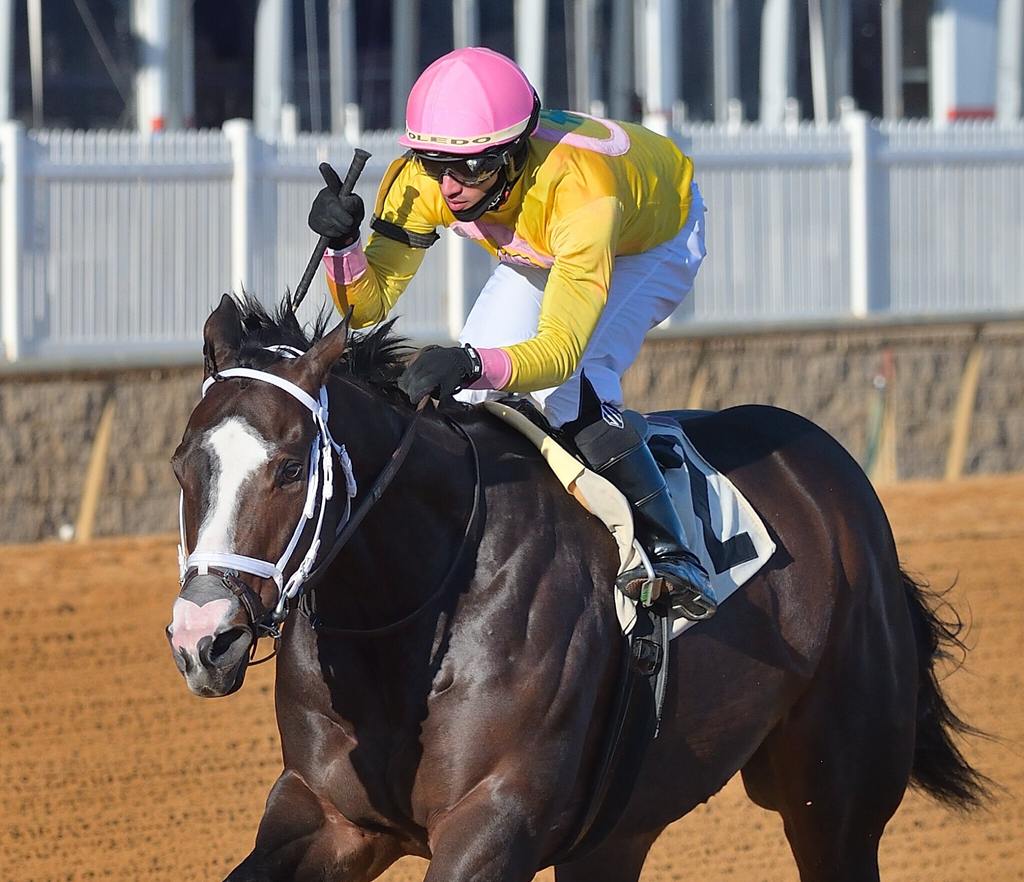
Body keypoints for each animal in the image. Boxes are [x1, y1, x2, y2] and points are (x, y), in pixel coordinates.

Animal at [167, 292, 991, 876]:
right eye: (182, 463)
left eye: (289, 468)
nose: (203, 639)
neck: (415, 609)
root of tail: (836, 472)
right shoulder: (328, 813)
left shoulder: (494, 822)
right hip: (622, 822)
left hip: (836, 801)